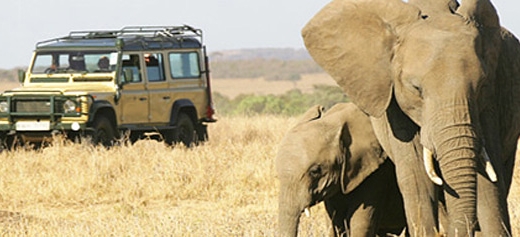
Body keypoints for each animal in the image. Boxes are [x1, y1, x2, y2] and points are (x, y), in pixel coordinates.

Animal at [300, 0, 520, 235]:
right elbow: (417, 181)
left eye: (481, 85)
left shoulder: (490, 100)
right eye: (416, 88)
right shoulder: (394, 105)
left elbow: (489, 184)